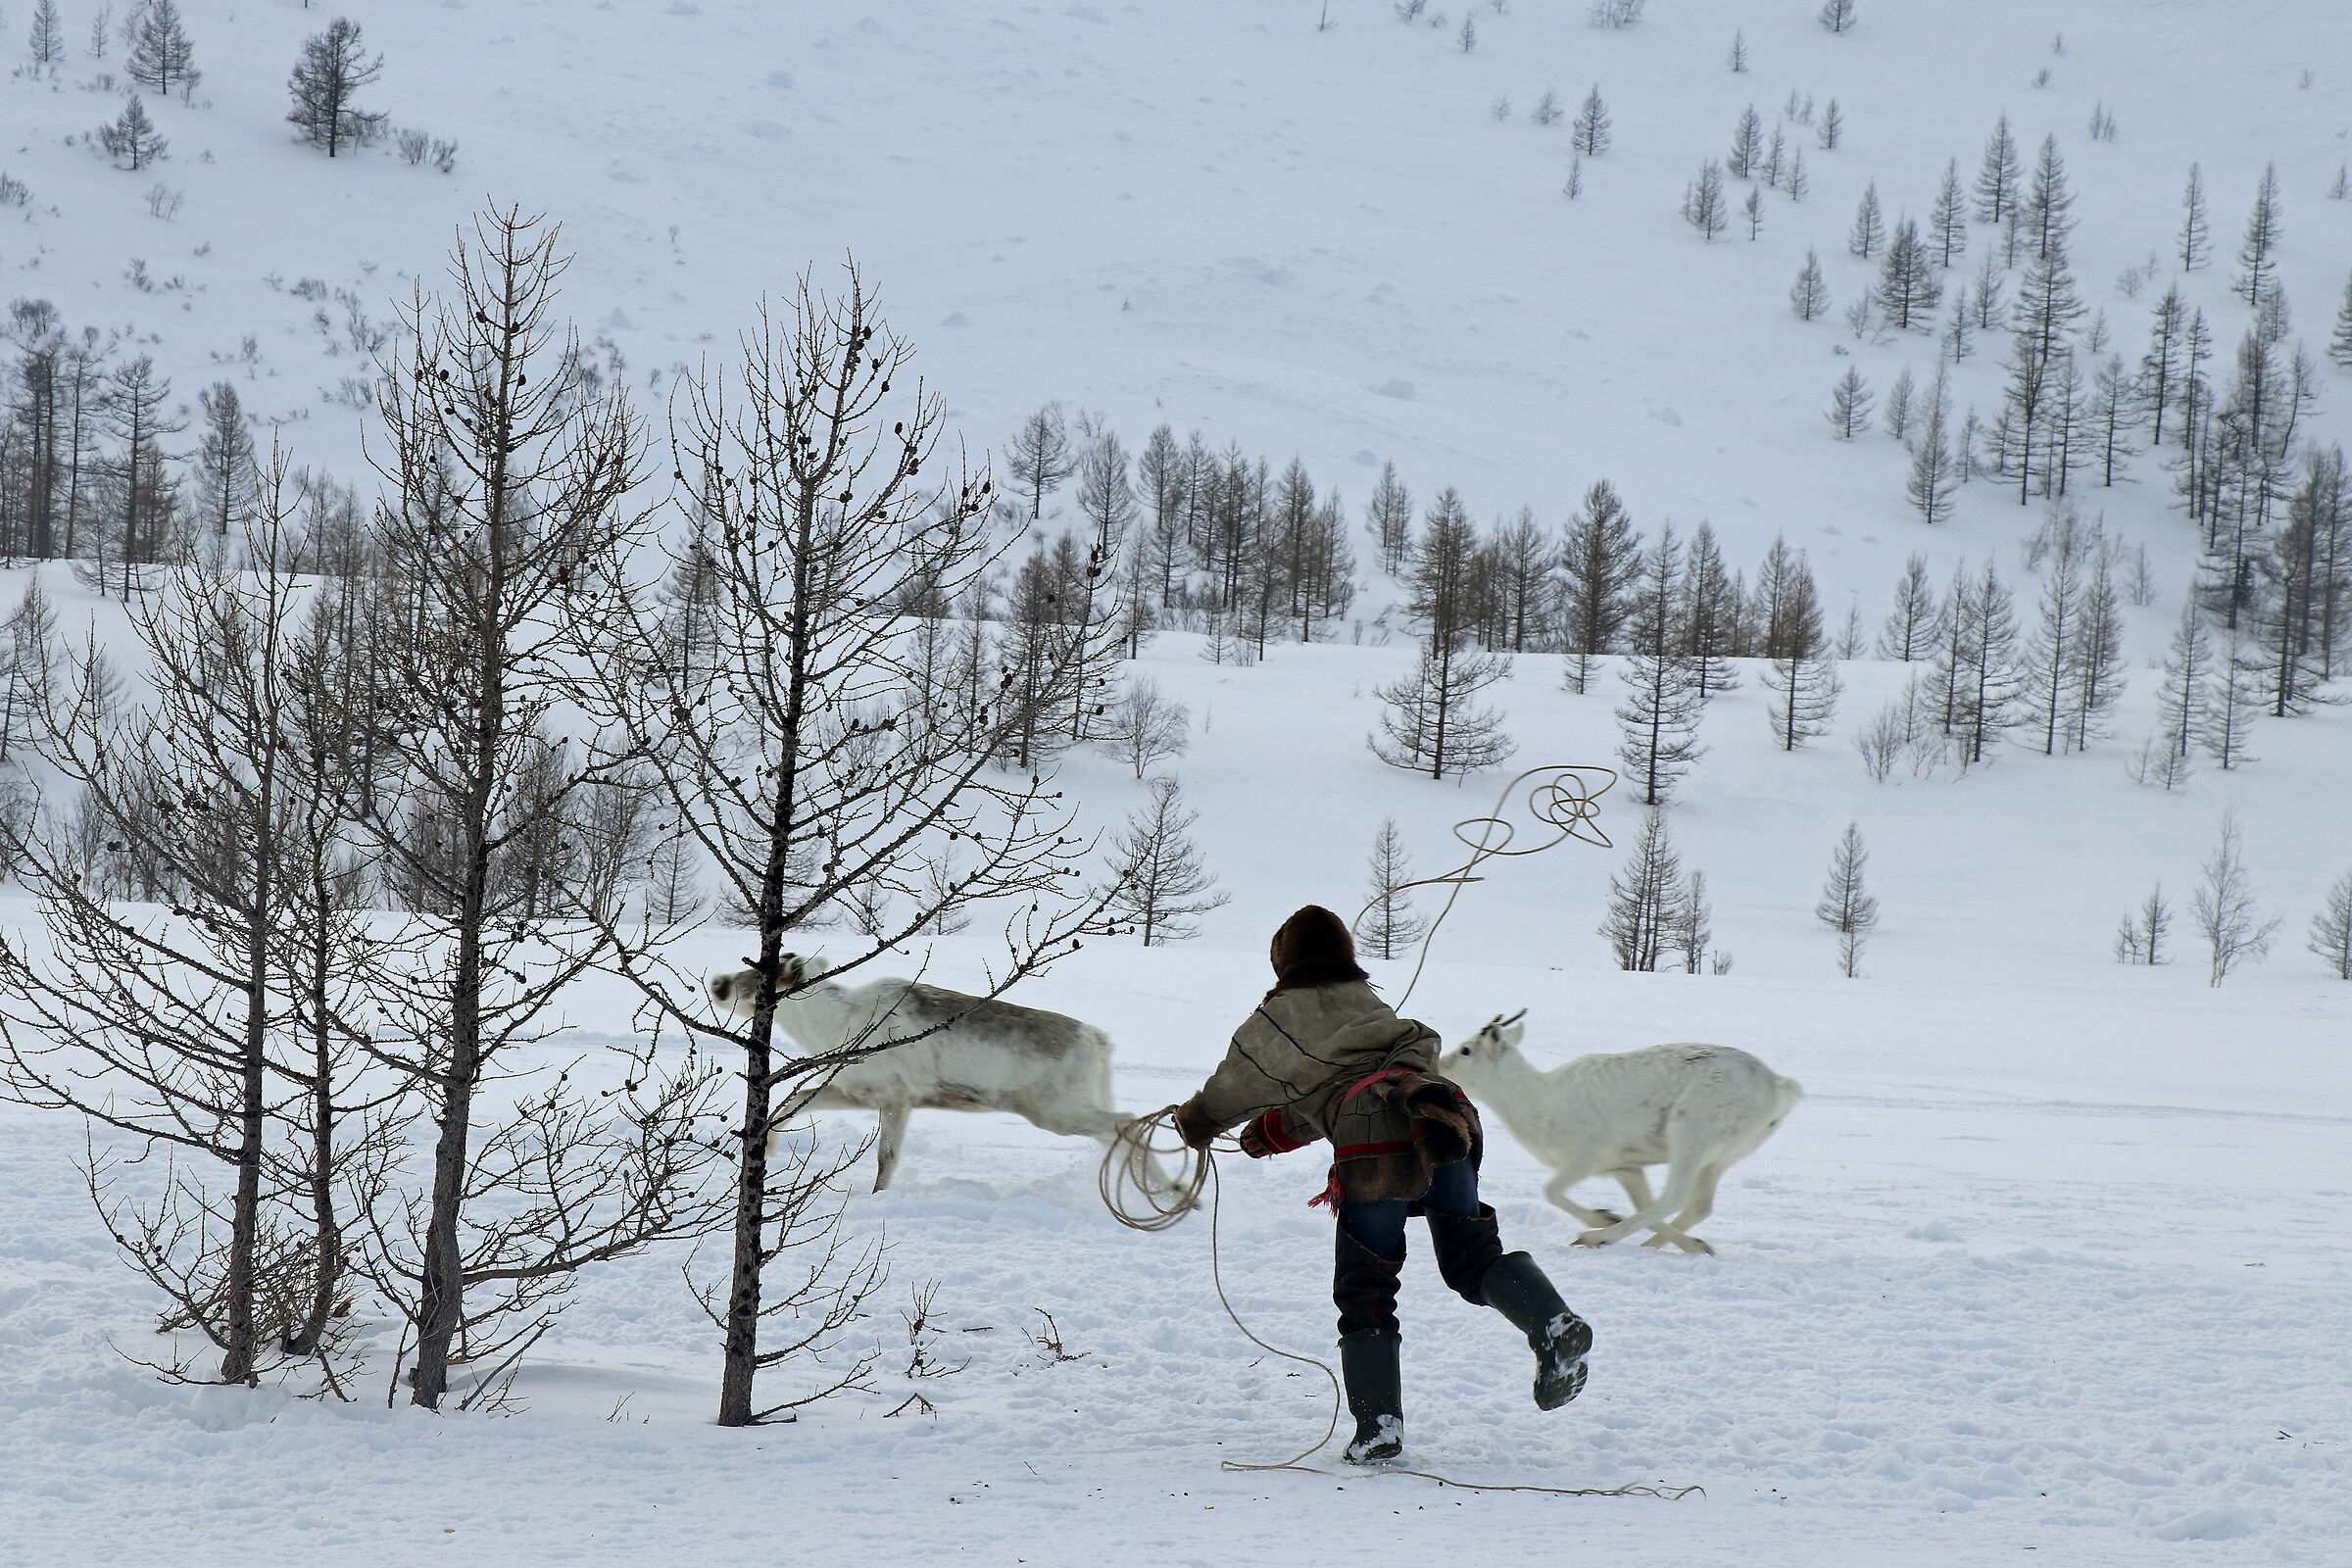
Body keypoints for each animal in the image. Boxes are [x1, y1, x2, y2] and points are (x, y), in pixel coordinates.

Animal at [1439, 1012, 1803, 1255]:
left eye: (1467, 1050)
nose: (1440, 1064)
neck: (1536, 1102)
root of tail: (1778, 1087)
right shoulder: (1626, 1168)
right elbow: (1642, 1204)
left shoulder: (1587, 1156)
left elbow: (1551, 1190)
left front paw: (1602, 1218)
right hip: (1722, 1155)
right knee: (1695, 1205)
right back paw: (1666, 1245)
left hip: (1690, 1132)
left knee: (1675, 1196)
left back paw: (1595, 1238)